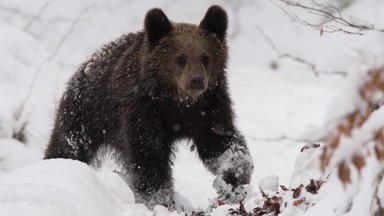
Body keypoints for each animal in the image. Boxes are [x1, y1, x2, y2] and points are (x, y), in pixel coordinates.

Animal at [45, 5, 254, 209]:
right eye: (181, 58)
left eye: (206, 57)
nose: (196, 80)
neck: (178, 102)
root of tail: (88, 62)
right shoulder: (144, 110)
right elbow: (149, 155)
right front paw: (159, 200)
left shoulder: (209, 109)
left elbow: (221, 144)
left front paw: (231, 183)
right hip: (86, 112)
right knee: (69, 145)